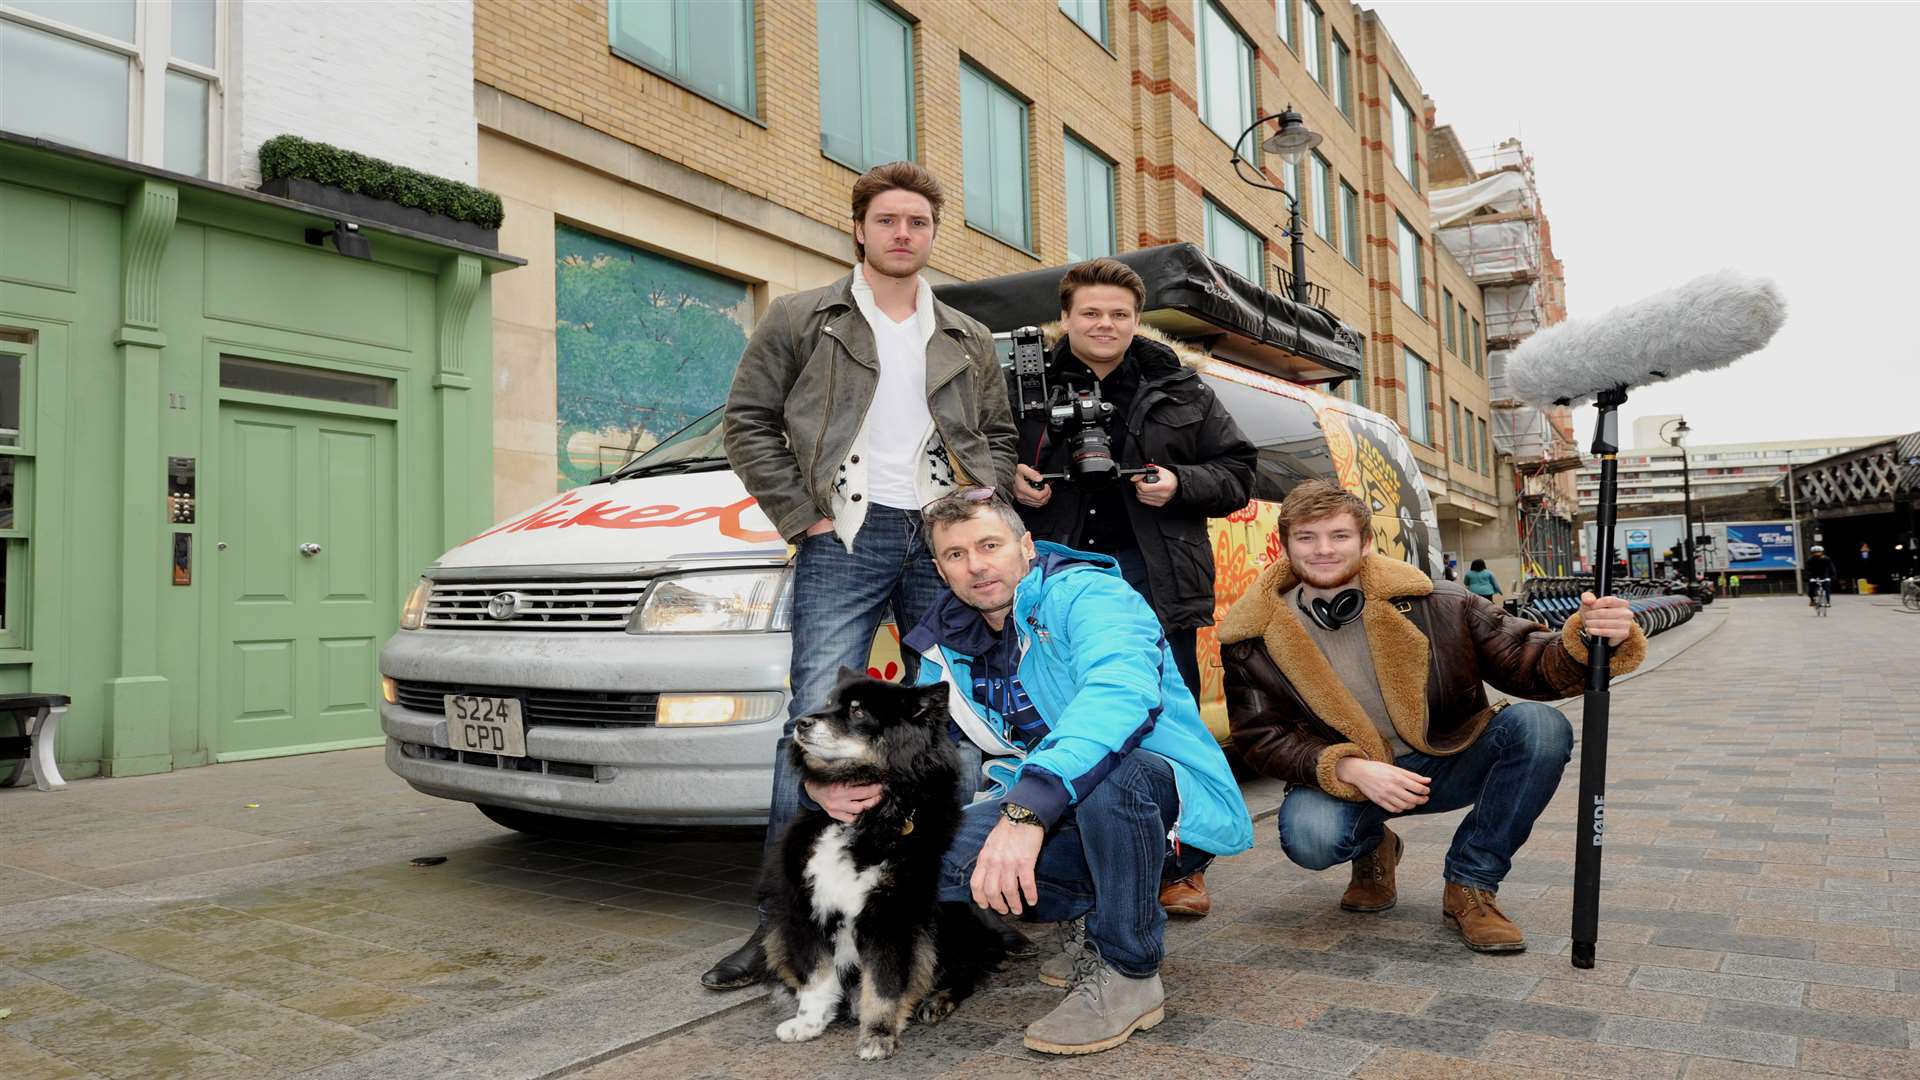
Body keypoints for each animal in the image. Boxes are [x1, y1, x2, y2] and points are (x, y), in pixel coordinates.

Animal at [760, 668, 1013, 1053]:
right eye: (829, 703)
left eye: (858, 712)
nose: (802, 723)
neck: (868, 817)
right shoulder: (807, 910)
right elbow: (817, 978)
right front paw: (809, 1023)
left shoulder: (892, 916)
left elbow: (884, 983)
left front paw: (879, 1034)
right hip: (776, 935)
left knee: (967, 971)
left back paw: (938, 1000)